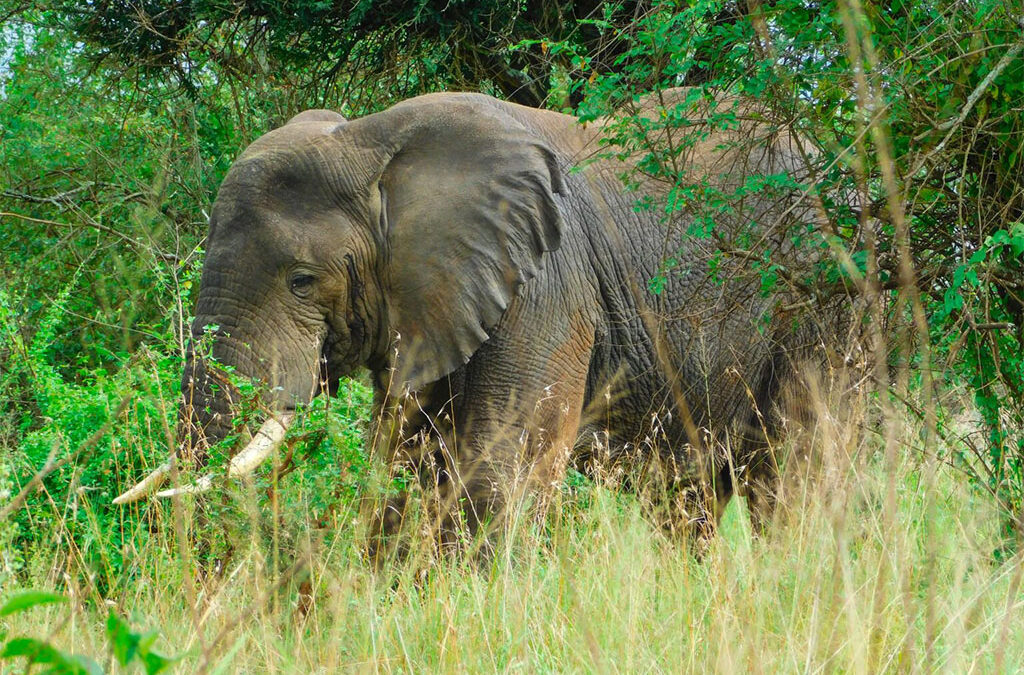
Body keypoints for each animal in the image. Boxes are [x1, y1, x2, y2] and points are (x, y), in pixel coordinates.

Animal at [114, 90, 838, 552]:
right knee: (689, 498)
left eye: (301, 280)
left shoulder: (547, 284)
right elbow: (405, 467)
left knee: (799, 465)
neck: (373, 146)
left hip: (821, 293)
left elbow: (500, 469)